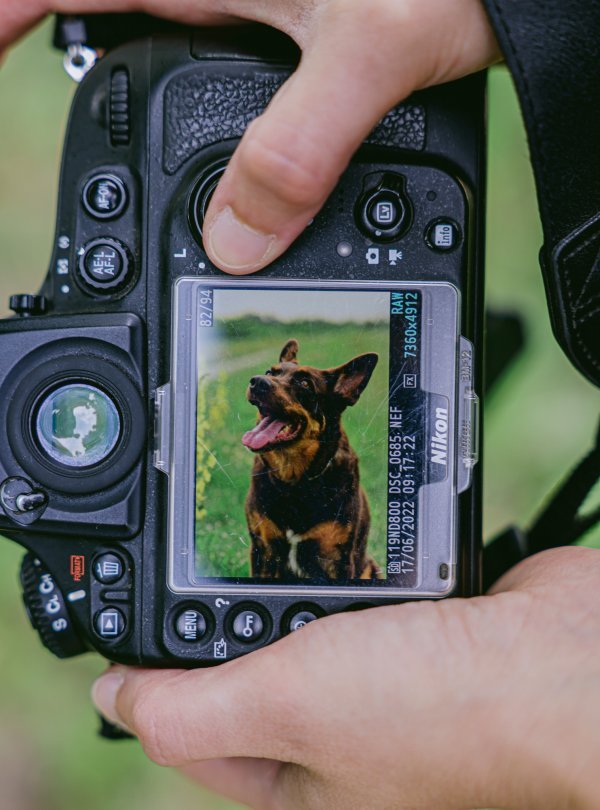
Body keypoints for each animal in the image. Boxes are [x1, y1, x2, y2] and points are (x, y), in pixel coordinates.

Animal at [240, 338, 378, 576]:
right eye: (270, 372)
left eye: (305, 384)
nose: (257, 381)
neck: (294, 481)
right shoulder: (262, 550)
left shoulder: (338, 559)